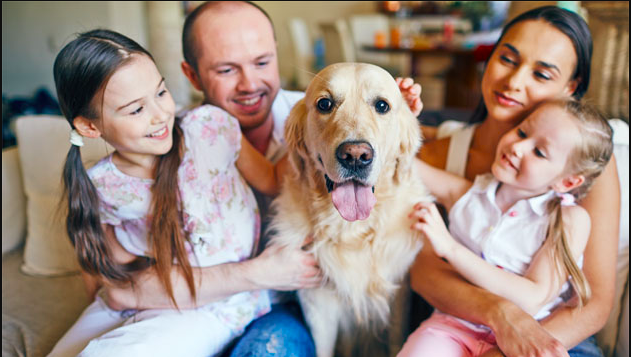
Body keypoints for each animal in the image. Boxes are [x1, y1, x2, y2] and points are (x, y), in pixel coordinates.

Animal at [270, 63, 432, 356]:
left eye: (382, 105)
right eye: (324, 104)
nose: (356, 155)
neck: (352, 230)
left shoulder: (398, 292)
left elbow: (396, 340)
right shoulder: (317, 300)